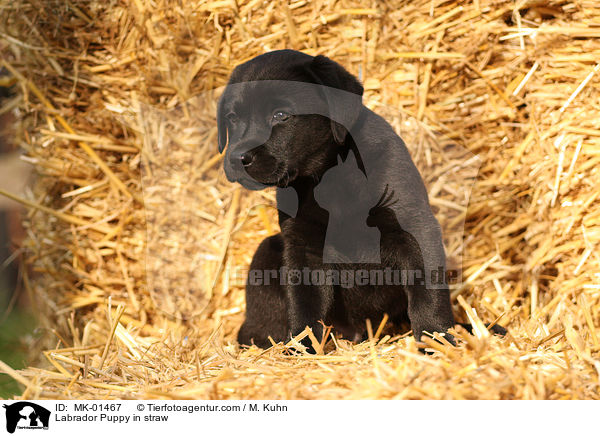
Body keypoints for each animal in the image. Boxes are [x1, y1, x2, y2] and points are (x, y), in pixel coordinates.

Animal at [218, 50, 504, 350]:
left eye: (281, 115)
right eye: (232, 118)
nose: (236, 158)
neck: (330, 176)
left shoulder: (414, 227)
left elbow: (427, 293)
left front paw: (436, 339)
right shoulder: (302, 245)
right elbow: (304, 303)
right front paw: (303, 347)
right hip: (266, 251)